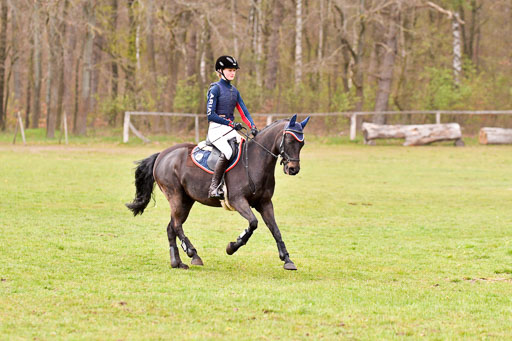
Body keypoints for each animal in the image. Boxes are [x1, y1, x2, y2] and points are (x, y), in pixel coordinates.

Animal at [125, 115, 310, 270]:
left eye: (301, 144)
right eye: (289, 140)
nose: (293, 169)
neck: (255, 160)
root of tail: (162, 154)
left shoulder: (265, 203)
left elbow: (275, 230)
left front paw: (287, 260)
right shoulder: (238, 201)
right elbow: (253, 223)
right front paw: (232, 247)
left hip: (186, 200)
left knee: (172, 227)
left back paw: (177, 262)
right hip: (175, 196)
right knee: (177, 226)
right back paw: (193, 254)